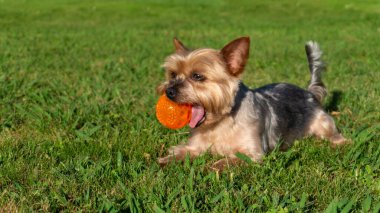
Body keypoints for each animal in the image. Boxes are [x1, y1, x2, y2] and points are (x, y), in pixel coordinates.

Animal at [157, 36, 348, 170]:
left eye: (197, 76)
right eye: (173, 74)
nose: (169, 91)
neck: (221, 122)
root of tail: (309, 92)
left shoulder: (253, 153)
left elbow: (228, 161)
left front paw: (211, 167)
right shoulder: (195, 146)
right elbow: (181, 152)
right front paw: (164, 161)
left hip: (323, 123)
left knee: (336, 135)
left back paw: (339, 143)